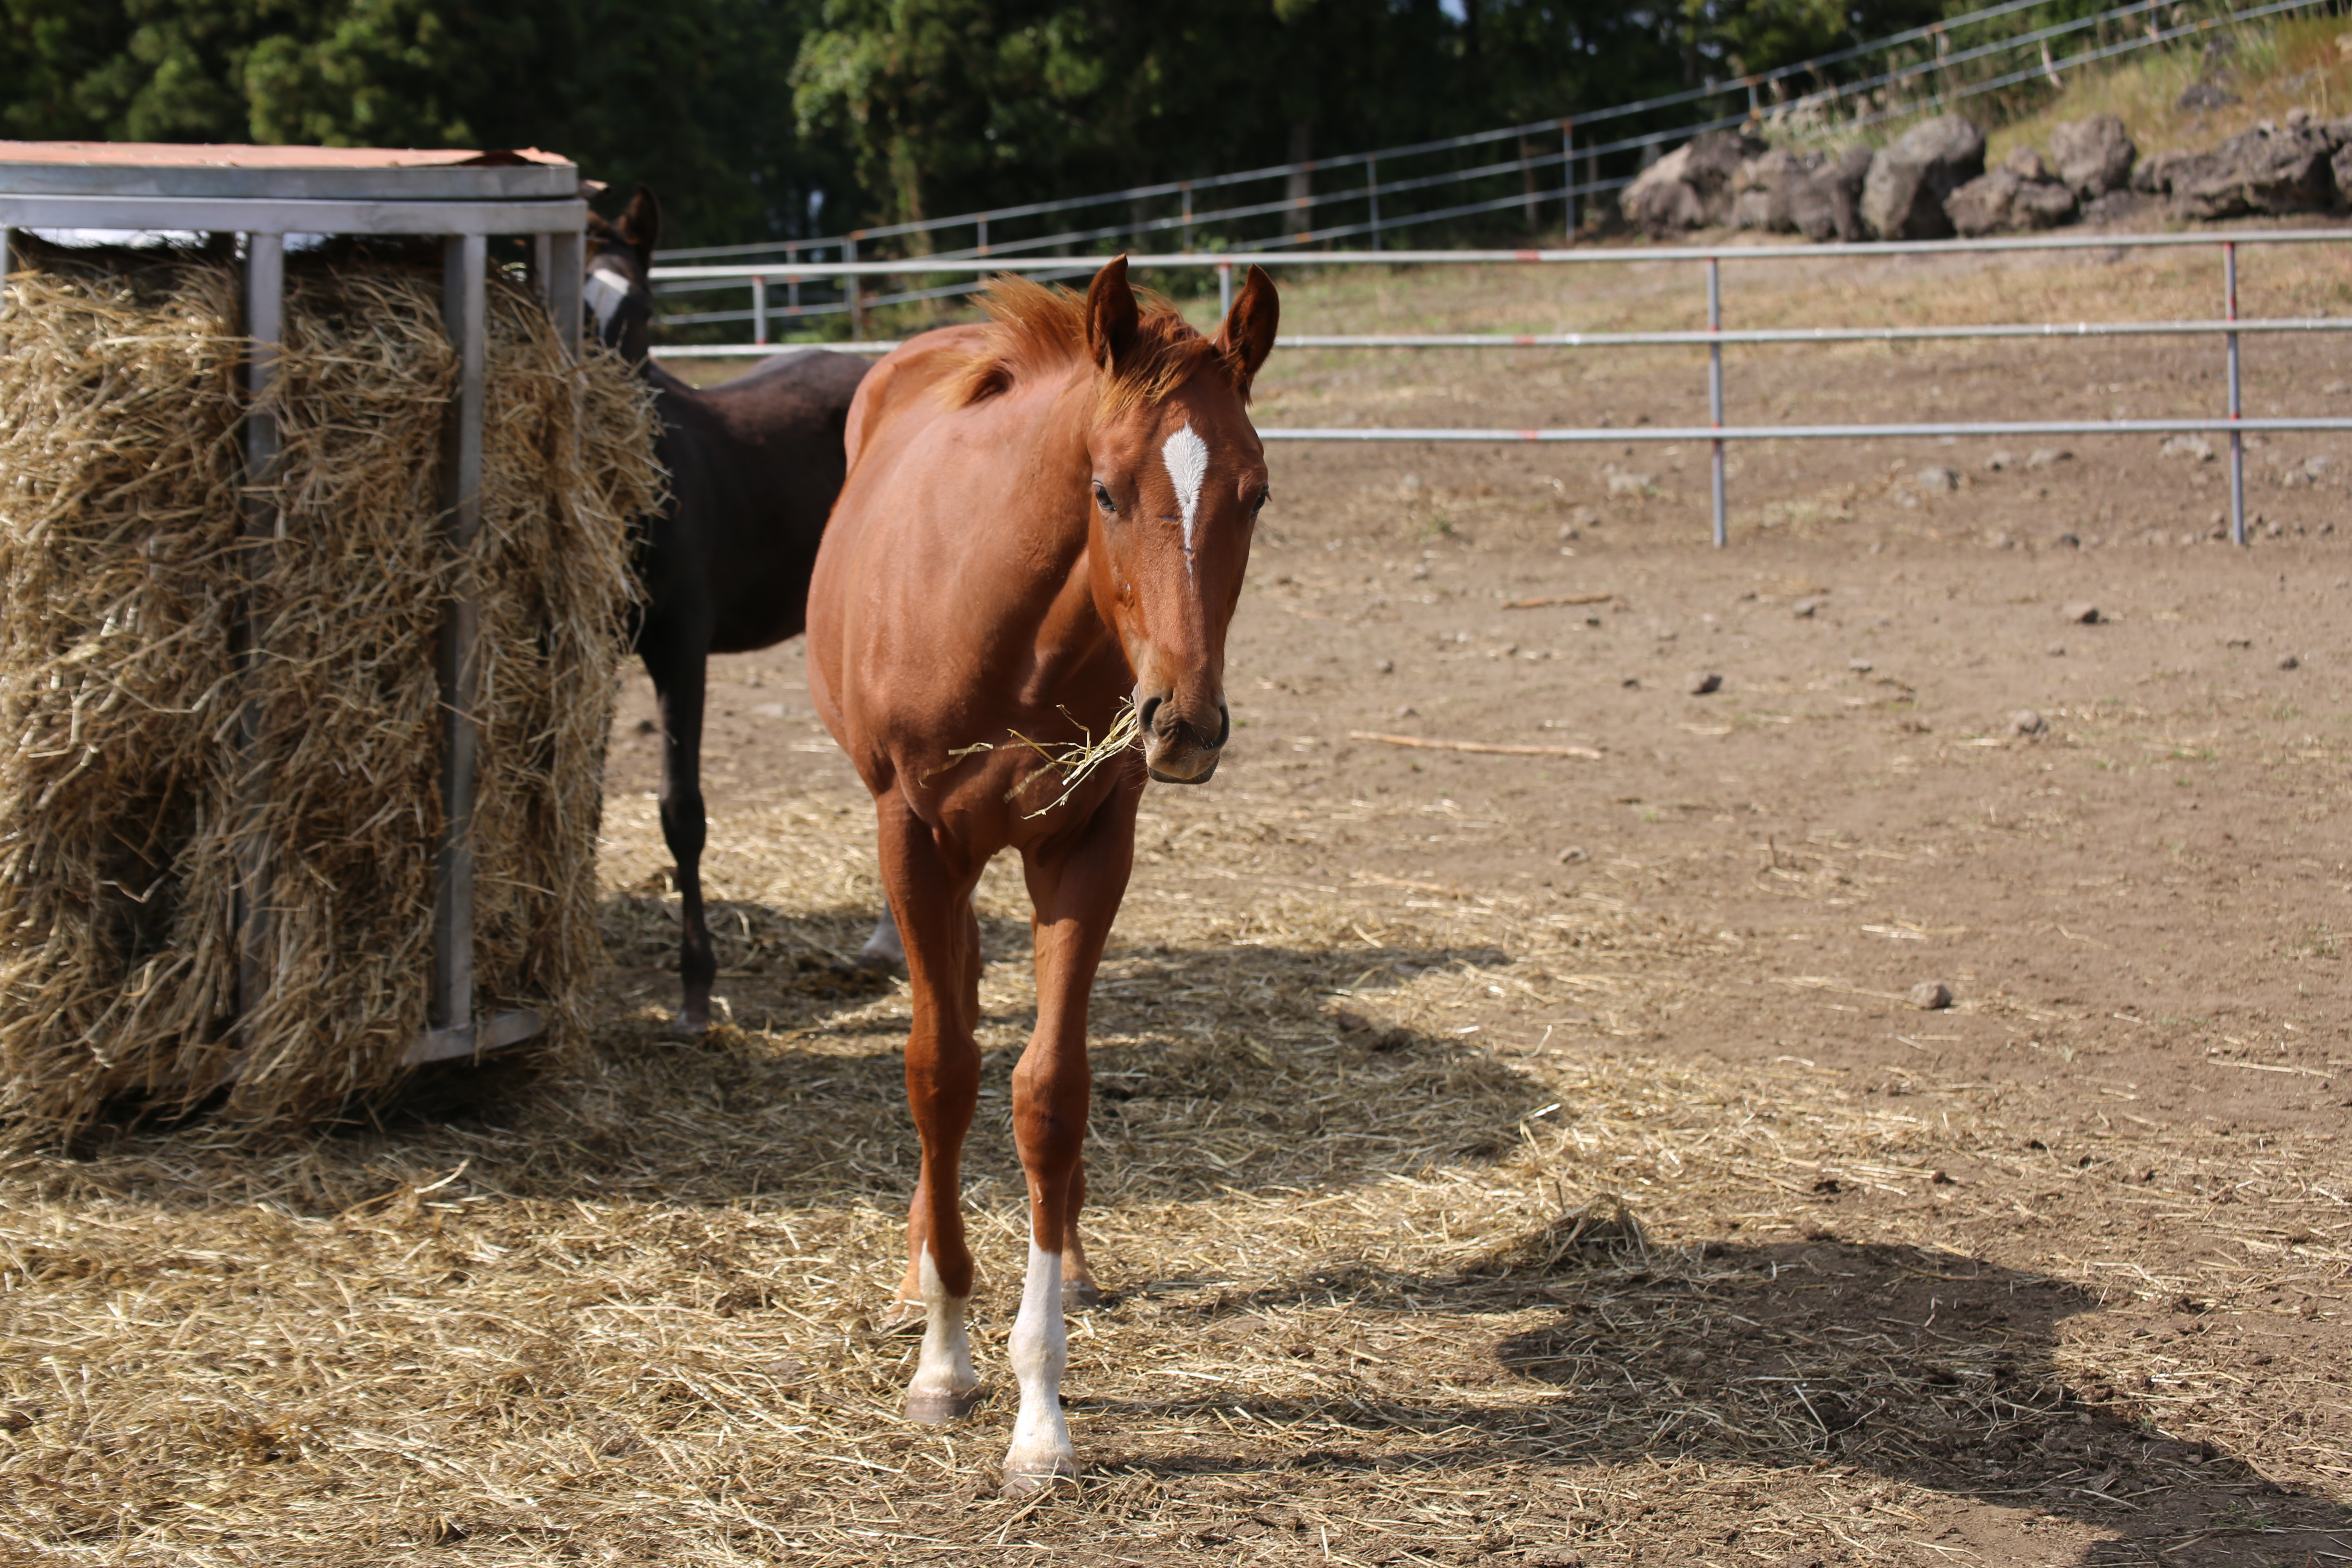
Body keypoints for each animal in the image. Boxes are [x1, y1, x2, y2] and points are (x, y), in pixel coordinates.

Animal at [813, 261, 1289, 1495]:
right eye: (1107, 491)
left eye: (1257, 493)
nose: (1185, 720)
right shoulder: (912, 837)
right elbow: (938, 1072)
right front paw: (944, 1358)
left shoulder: (1087, 843)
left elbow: (1050, 1093)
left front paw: (1040, 1409)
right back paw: (915, 1273)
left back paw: (1066, 1258)